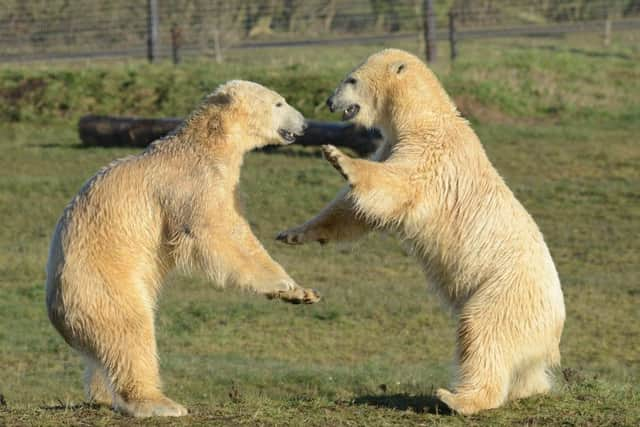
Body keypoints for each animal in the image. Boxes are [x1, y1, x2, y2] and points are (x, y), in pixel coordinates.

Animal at [45, 80, 320, 418]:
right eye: (279, 103)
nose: (305, 124)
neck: (205, 144)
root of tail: (57, 311)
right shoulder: (193, 184)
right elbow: (218, 234)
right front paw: (283, 285)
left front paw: (301, 293)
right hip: (102, 283)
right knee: (130, 332)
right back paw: (159, 403)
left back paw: (103, 395)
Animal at [280, 50, 564, 414]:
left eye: (351, 79)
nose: (329, 102)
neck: (424, 117)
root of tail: (554, 331)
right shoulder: (394, 145)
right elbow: (356, 211)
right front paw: (295, 233)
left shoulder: (431, 152)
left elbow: (395, 186)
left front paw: (338, 157)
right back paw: (526, 389)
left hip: (505, 294)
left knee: (483, 333)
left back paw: (457, 398)